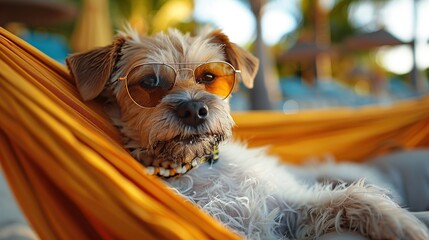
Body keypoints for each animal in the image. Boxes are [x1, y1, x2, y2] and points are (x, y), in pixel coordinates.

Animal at [65, 28, 426, 240]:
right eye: (149, 83)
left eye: (209, 77)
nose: (194, 110)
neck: (198, 168)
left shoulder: (290, 208)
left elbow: (351, 198)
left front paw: (401, 225)